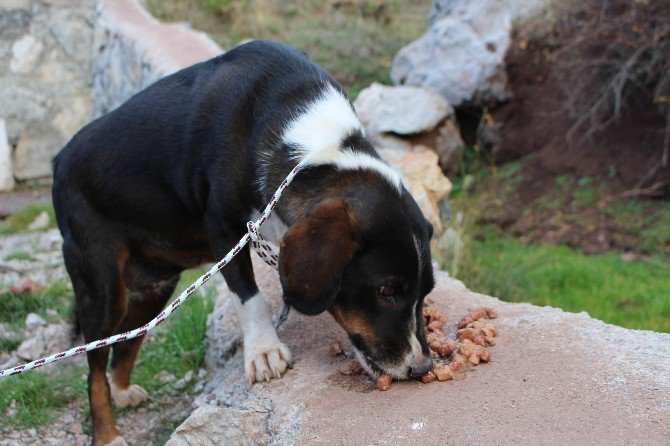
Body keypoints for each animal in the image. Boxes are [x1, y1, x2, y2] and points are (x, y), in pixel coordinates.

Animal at [55, 40, 438, 444]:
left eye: (425, 292)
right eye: (387, 291)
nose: (423, 366)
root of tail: (58, 163)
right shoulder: (223, 229)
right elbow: (248, 296)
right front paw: (263, 350)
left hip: (155, 288)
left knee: (126, 342)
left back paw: (123, 389)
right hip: (103, 289)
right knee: (94, 367)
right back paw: (107, 432)